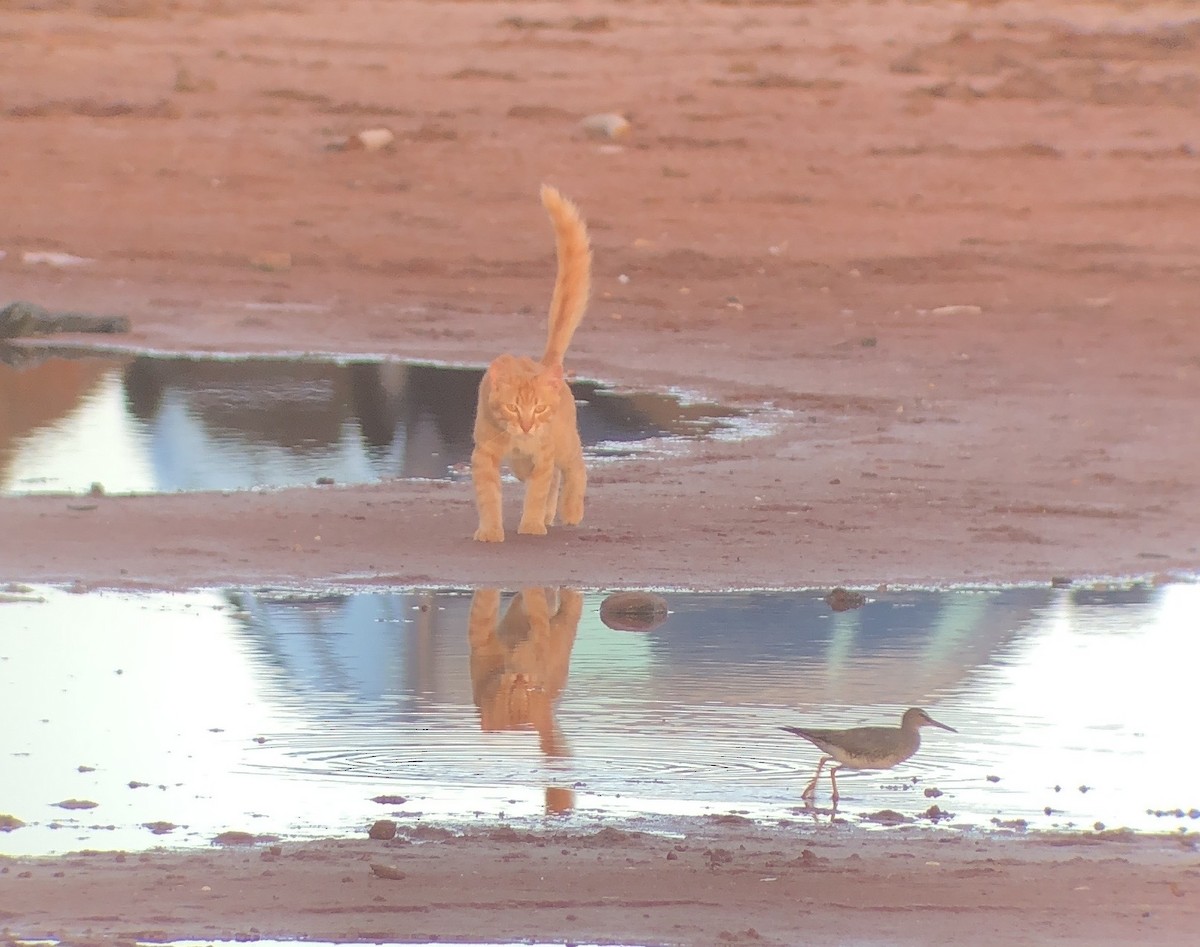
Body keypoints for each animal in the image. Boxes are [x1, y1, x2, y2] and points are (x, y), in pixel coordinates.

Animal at [472, 186, 595, 540]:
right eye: (513, 407)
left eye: (538, 408)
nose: (527, 425)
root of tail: (546, 364)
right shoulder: (484, 455)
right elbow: (489, 497)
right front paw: (490, 531)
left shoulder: (543, 453)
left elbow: (538, 494)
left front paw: (530, 525)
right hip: (526, 461)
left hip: (563, 444)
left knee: (576, 469)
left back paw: (570, 511)